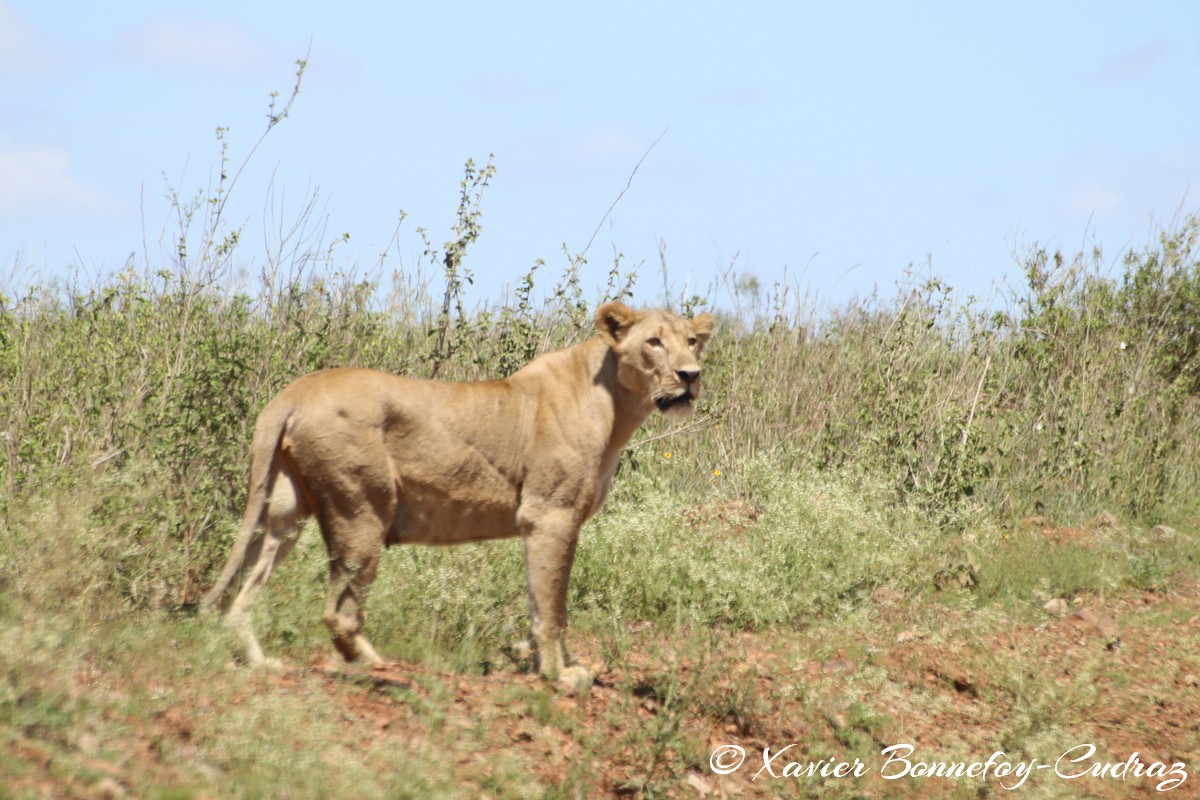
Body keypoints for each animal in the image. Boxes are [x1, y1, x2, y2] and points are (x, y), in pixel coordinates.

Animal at [202, 301, 714, 691]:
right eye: (654, 342)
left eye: (691, 341)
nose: (691, 375)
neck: (616, 404)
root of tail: (292, 392)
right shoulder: (551, 514)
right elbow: (553, 606)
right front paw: (559, 675)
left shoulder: (547, 521)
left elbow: (541, 601)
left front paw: (547, 664)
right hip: (361, 509)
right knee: (338, 614)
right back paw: (386, 668)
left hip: (284, 514)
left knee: (241, 597)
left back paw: (261, 663)